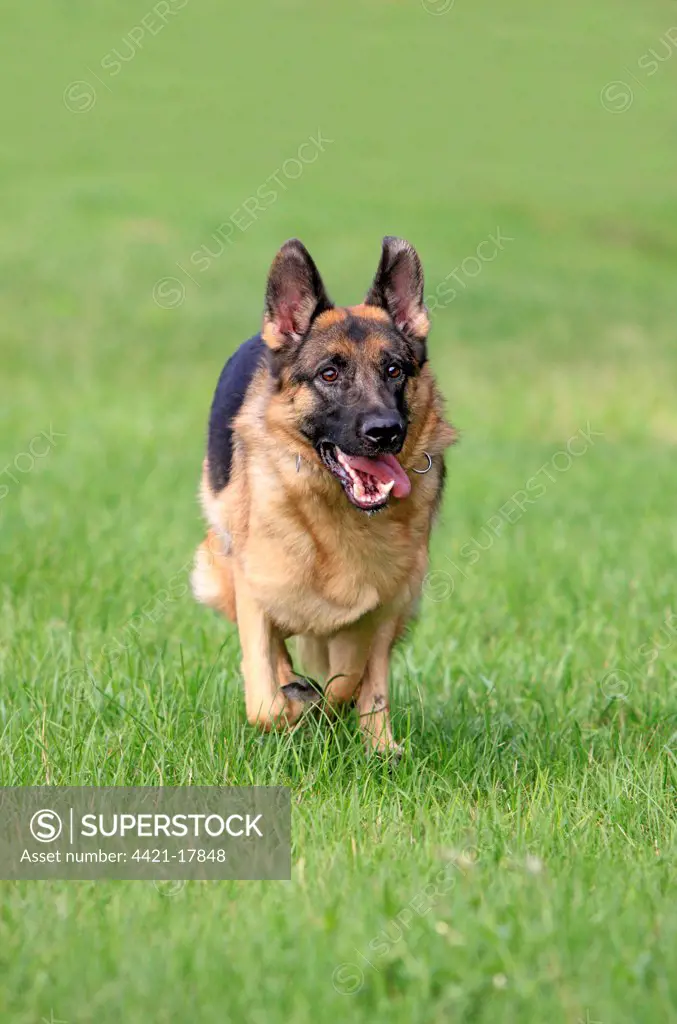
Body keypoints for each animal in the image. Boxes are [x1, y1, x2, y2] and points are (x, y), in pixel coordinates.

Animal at [190, 237, 454, 753]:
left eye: (394, 369)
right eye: (329, 374)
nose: (385, 433)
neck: (337, 516)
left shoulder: (387, 606)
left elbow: (354, 676)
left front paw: (349, 720)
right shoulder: (253, 589)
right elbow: (267, 699)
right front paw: (294, 704)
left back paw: (374, 740)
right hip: (215, 568)